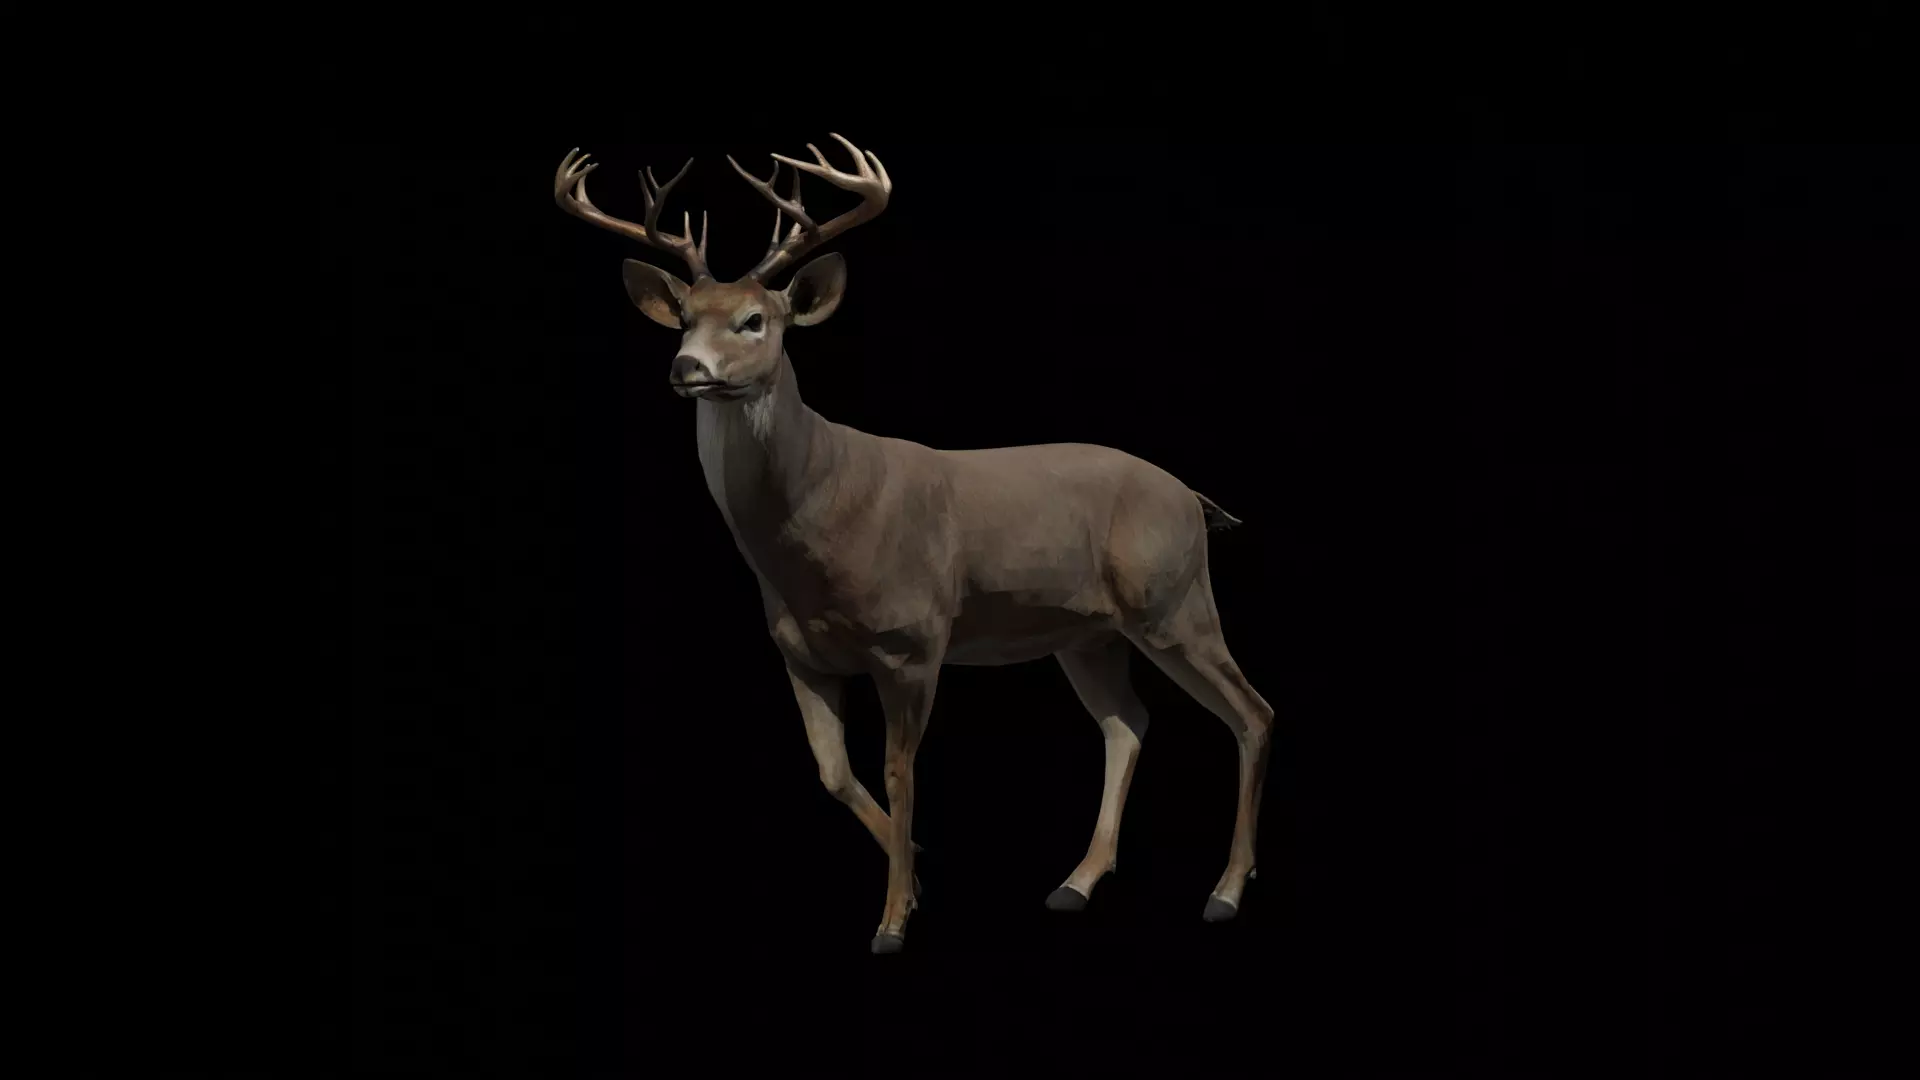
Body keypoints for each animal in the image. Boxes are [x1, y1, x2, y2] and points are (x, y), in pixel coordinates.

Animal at [555, 134, 1275, 954]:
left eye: (754, 320)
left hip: (1175, 601)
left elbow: (901, 773)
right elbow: (835, 773)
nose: (687, 369)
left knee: (1252, 713)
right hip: (1086, 633)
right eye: (682, 318)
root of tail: (1192, 497)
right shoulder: (799, 653)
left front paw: (894, 920)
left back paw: (1225, 891)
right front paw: (920, 873)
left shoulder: (913, 639)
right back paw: (1076, 883)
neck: (814, 526)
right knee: (1127, 723)